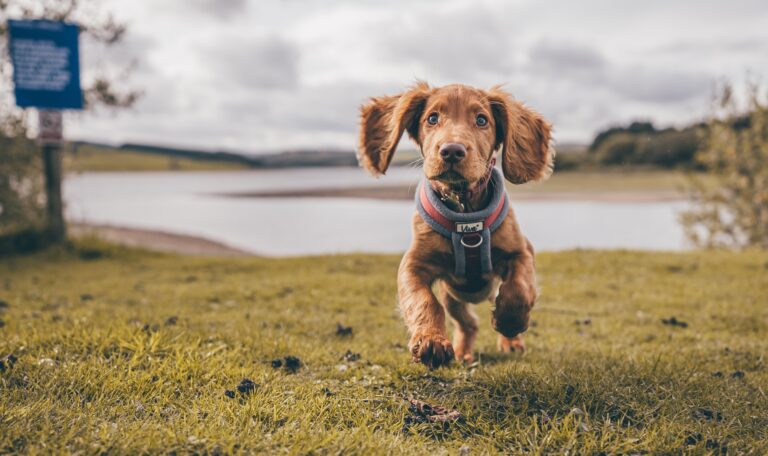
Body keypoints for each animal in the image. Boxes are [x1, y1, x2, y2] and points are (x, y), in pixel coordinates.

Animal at [356, 81, 556, 366]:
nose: (451, 151)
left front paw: (509, 322)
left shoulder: (522, 251)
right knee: (468, 323)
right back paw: (463, 352)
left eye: (482, 120)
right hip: (453, 297)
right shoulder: (413, 265)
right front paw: (430, 341)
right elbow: (423, 301)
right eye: (432, 118)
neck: (464, 210)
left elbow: (519, 289)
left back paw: (511, 342)